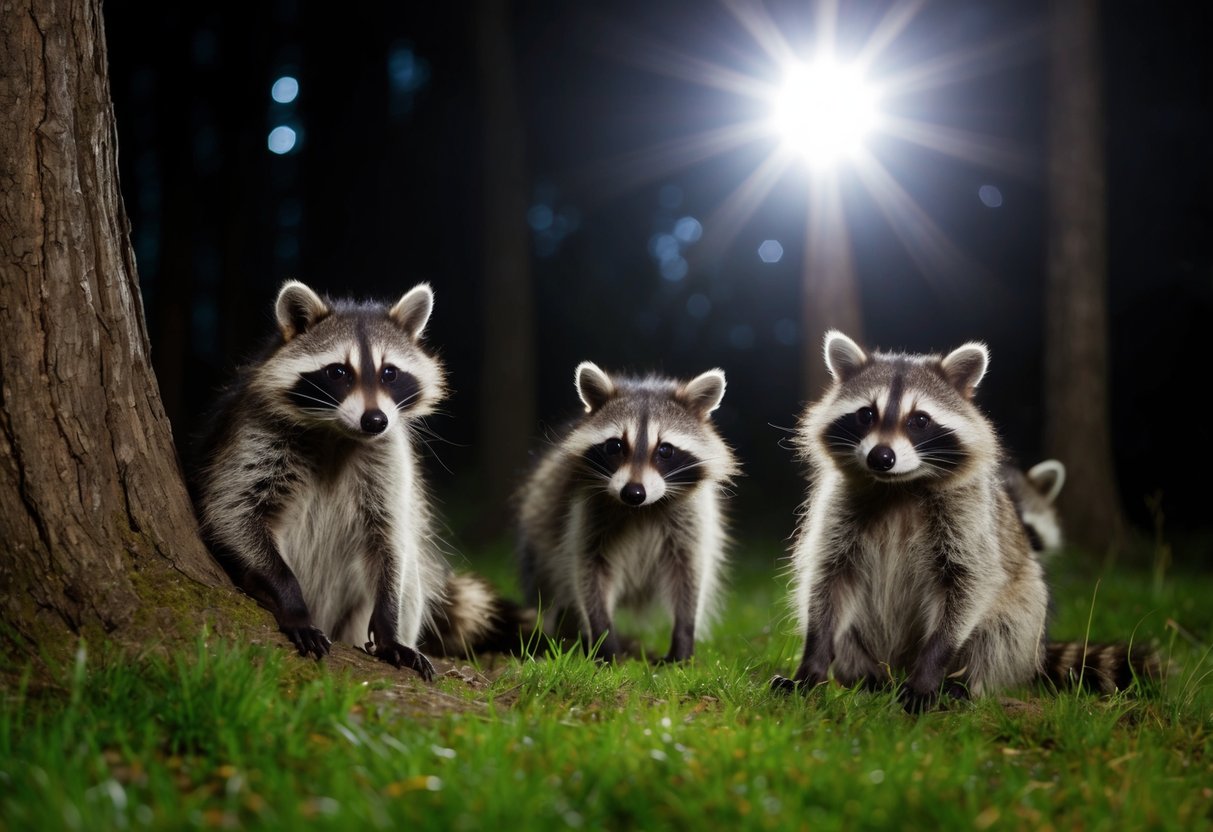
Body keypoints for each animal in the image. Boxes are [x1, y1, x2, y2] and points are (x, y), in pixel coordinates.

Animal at [191, 280, 528, 679]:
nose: (375, 420)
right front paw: (290, 600)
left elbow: (392, 538)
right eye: (338, 372)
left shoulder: (388, 455)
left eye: (390, 373)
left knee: (410, 577)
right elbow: (234, 512)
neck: (337, 432)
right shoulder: (255, 434)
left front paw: (388, 627)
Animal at [517, 362, 740, 663]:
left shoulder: (692, 516)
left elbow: (689, 574)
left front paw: (682, 641)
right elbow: (589, 572)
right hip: (538, 536)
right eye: (615, 446)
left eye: (665, 450)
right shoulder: (585, 509)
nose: (633, 493)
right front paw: (604, 642)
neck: (642, 510)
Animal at [772, 331, 1157, 711]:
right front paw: (812, 666)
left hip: (1024, 616)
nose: (881, 457)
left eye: (920, 420)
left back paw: (965, 684)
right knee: (847, 627)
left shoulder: (969, 517)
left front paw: (929, 675)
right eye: (866, 414)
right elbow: (827, 584)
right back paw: (869, 680)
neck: (898, 487)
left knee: (1004, 628)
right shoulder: (839, 508)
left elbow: (969, 585)